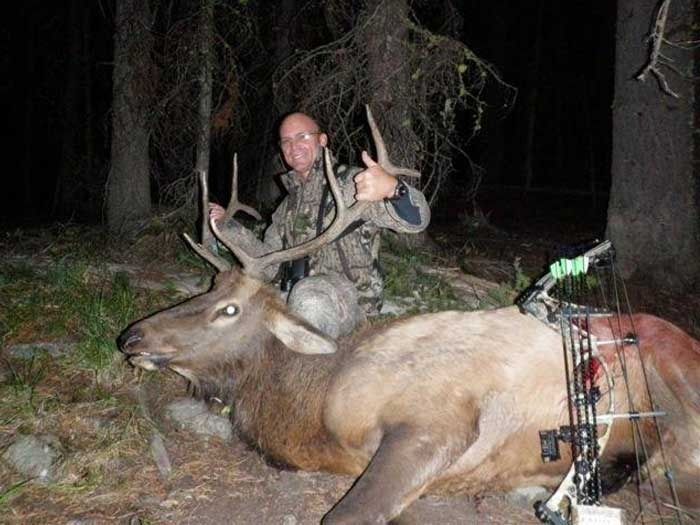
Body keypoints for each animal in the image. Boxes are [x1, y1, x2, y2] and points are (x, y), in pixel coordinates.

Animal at [118, 109, 700, 524]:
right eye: (210, 286)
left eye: (229, 309)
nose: (131, 337)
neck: (313, 402)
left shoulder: (441, 416)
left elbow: (347, 516)